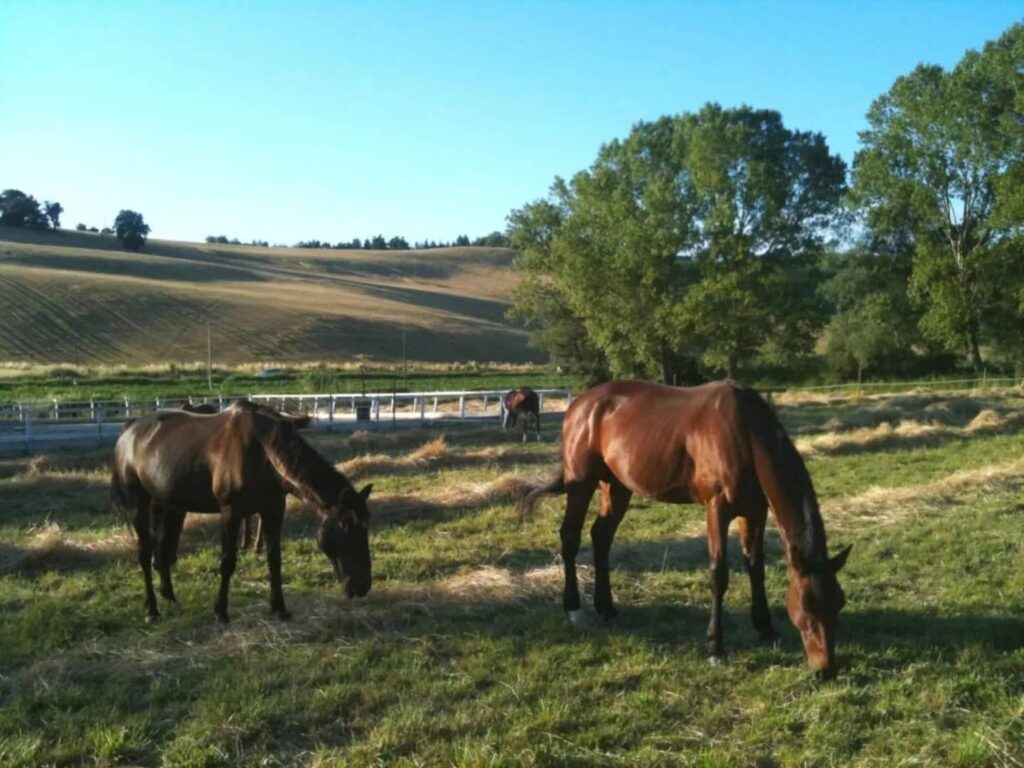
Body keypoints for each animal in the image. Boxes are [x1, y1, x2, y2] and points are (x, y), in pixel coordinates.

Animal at [112, 398, 373, 623]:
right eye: (348, 529)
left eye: (365, 529)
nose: (363, 586)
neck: (263, 452)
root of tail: (129, 430)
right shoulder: (231, 512)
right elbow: (227, 562)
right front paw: (220, 612)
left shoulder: (274, 509)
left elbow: (274, 559)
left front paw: (279, 608)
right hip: (139, 505)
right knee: (145, 552)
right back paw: (152, 610)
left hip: (167, 504)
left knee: (162, 547)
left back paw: (169, 596)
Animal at [519, 379, 851, 679]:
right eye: (807, 608)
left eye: (839, 603)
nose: (826, 671)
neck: (744, 433)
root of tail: (579, 404)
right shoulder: (717, 509)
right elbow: (719, 574)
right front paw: (715, 648)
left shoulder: (755, 511)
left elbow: (755, 566)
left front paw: (765, 627)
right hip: (582, 483)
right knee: (570, 537)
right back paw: (574, 609)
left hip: (616, 486)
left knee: (601, 537)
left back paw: (607, 608)